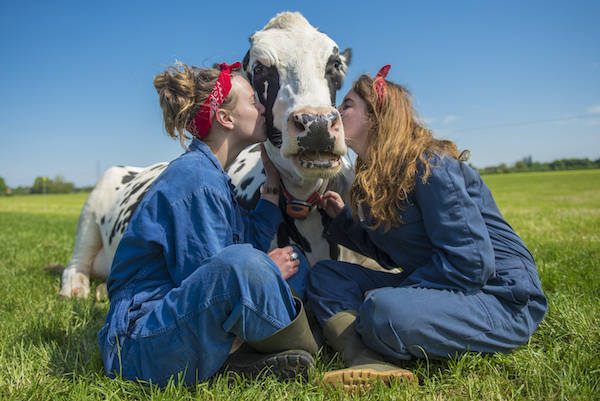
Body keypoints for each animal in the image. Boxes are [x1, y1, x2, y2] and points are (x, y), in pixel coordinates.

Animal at [58, 11, 378, 296]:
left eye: (334, 64)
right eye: (259, 68)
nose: (317, 124)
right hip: (92, 208)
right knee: (75, 264)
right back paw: (77, 289)